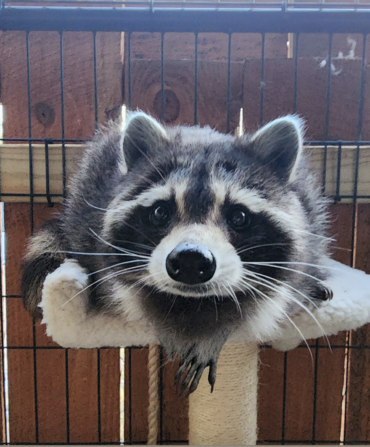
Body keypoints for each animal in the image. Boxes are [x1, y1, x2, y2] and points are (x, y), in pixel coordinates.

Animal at [21, 112, 330, 396]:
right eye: (160, 212)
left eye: (239, 217)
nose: (191, 260)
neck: (192, 302)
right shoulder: (98, 242)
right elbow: (131, 293)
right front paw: (163, 326)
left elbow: (257, 304)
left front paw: (218, 331)